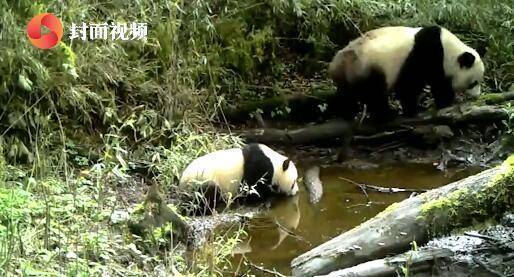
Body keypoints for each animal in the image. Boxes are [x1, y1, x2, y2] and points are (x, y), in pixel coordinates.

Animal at [328, 25, 484, 121]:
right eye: (473, 83)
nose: (477, 96)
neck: (448, 50)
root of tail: (335, 65)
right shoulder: (427, 53)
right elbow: (411, 84)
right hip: (367, 65)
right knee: (373, 92)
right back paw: (386, 115)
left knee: (346, 94)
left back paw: (342, 112)